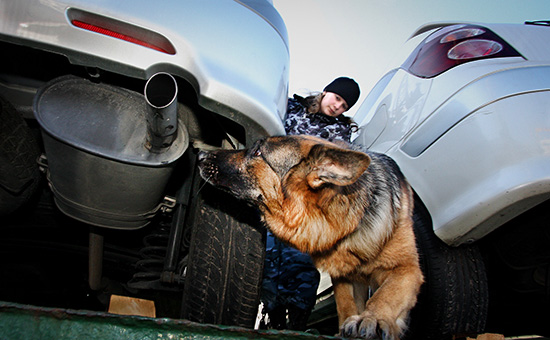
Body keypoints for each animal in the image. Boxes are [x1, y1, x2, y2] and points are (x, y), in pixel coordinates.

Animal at [199, 134, 426, 338]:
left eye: (257, 152)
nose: (200, 154)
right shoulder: (341, 277)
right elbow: (345, 303)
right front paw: (346, 324)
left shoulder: (407, 269)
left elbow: (386, 295)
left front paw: (374, 318)